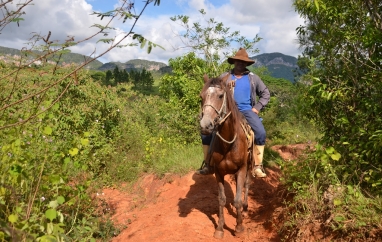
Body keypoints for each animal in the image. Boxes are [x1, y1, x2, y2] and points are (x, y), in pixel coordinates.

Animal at [198, 73, 255, 238]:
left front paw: (239, 227)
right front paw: (220, 228)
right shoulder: (218, 172)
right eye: (201, 97)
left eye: (220, 95)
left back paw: (245, 207)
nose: (205, 125)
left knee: (247, 185)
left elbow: (237, 200)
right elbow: (222, 200)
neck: (228, 143)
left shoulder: (242, 169)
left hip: (249, 167)